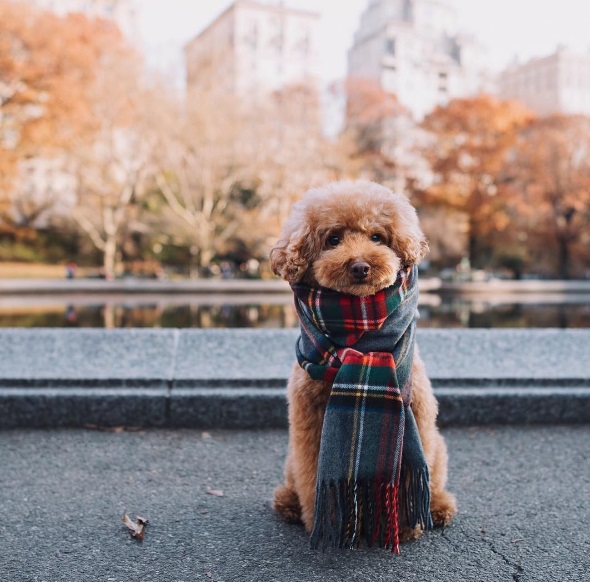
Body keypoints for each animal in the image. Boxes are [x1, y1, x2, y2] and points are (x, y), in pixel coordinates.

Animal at [270, 180, 458, 544]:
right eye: (333, 239)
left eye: (377, 236)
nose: (360, 266)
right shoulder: (308, 423)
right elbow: (314, 475)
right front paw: (324, 522)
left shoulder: (417, 415)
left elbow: (410, 477)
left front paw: (405, 526)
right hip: (289, 457)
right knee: (293, 479)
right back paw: (288, 502)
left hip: (438, 447)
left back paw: (440, 507)